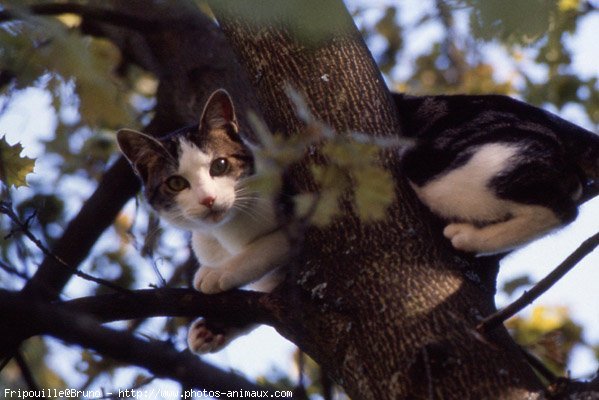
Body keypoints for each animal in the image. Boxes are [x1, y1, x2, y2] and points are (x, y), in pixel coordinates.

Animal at [118, 90, 290, 354]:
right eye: (176, 183)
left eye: (220, 165)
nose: (208, 199)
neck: (229, 232)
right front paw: (213, 328)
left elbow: (272, 244)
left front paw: (219, 272)